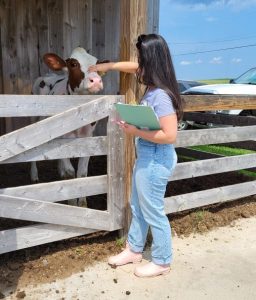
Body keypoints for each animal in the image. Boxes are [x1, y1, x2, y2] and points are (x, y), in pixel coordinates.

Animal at [31, 47, 104, 206]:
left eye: (97, 64)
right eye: (73, 64)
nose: (96, 81)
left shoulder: (88, 137)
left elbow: (82, 173)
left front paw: (82, 205)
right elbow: (71, 174)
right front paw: (72, 203)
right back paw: (34, 175)